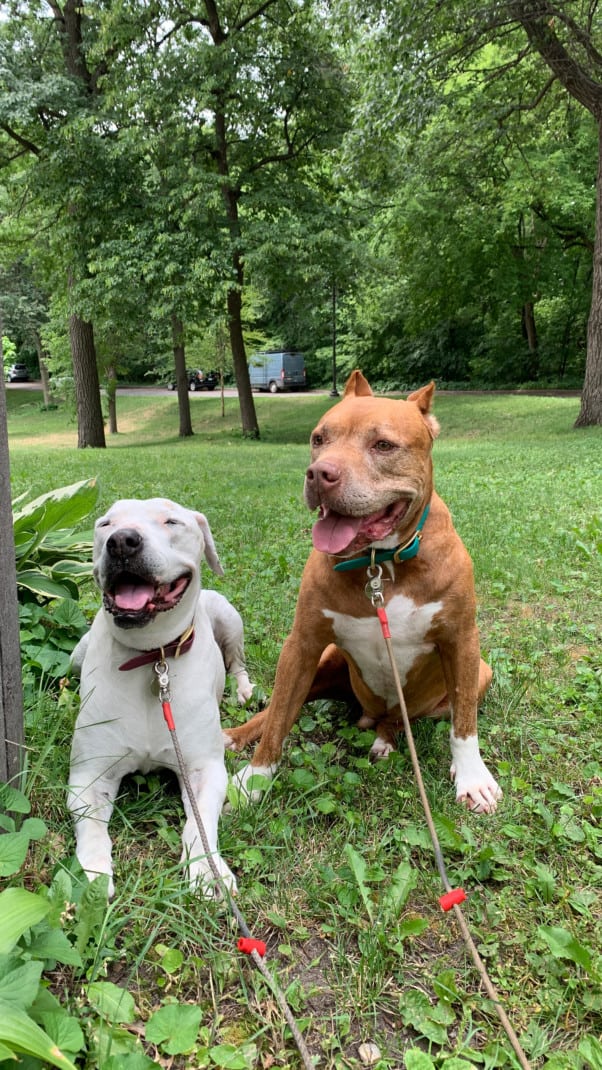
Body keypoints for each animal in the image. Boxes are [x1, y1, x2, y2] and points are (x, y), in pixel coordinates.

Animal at [67, 496, 252, 898]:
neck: (153, 657)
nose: (122, 542)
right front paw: (92, 875)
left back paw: (244, 689)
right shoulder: (89, 775)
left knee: (237, 661)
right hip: (76, 654)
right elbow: (92, 828)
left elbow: (200, 824)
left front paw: (208, 871)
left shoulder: (205, 769)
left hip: (229, 617)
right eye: (105, 524)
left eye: (171, 521)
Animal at [223, 370, 502, 808]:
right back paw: (234, 736)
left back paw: (385, 740)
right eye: (319, 438)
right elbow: (280, 716)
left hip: (480, 674)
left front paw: (473, 778)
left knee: (402, 718)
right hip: (326, 662)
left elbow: (465, 723)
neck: (379, 565)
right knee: (280, 710)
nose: (320, 474)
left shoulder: (461, 641)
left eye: (383, 445)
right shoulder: (302, 645)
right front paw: (254, 778)